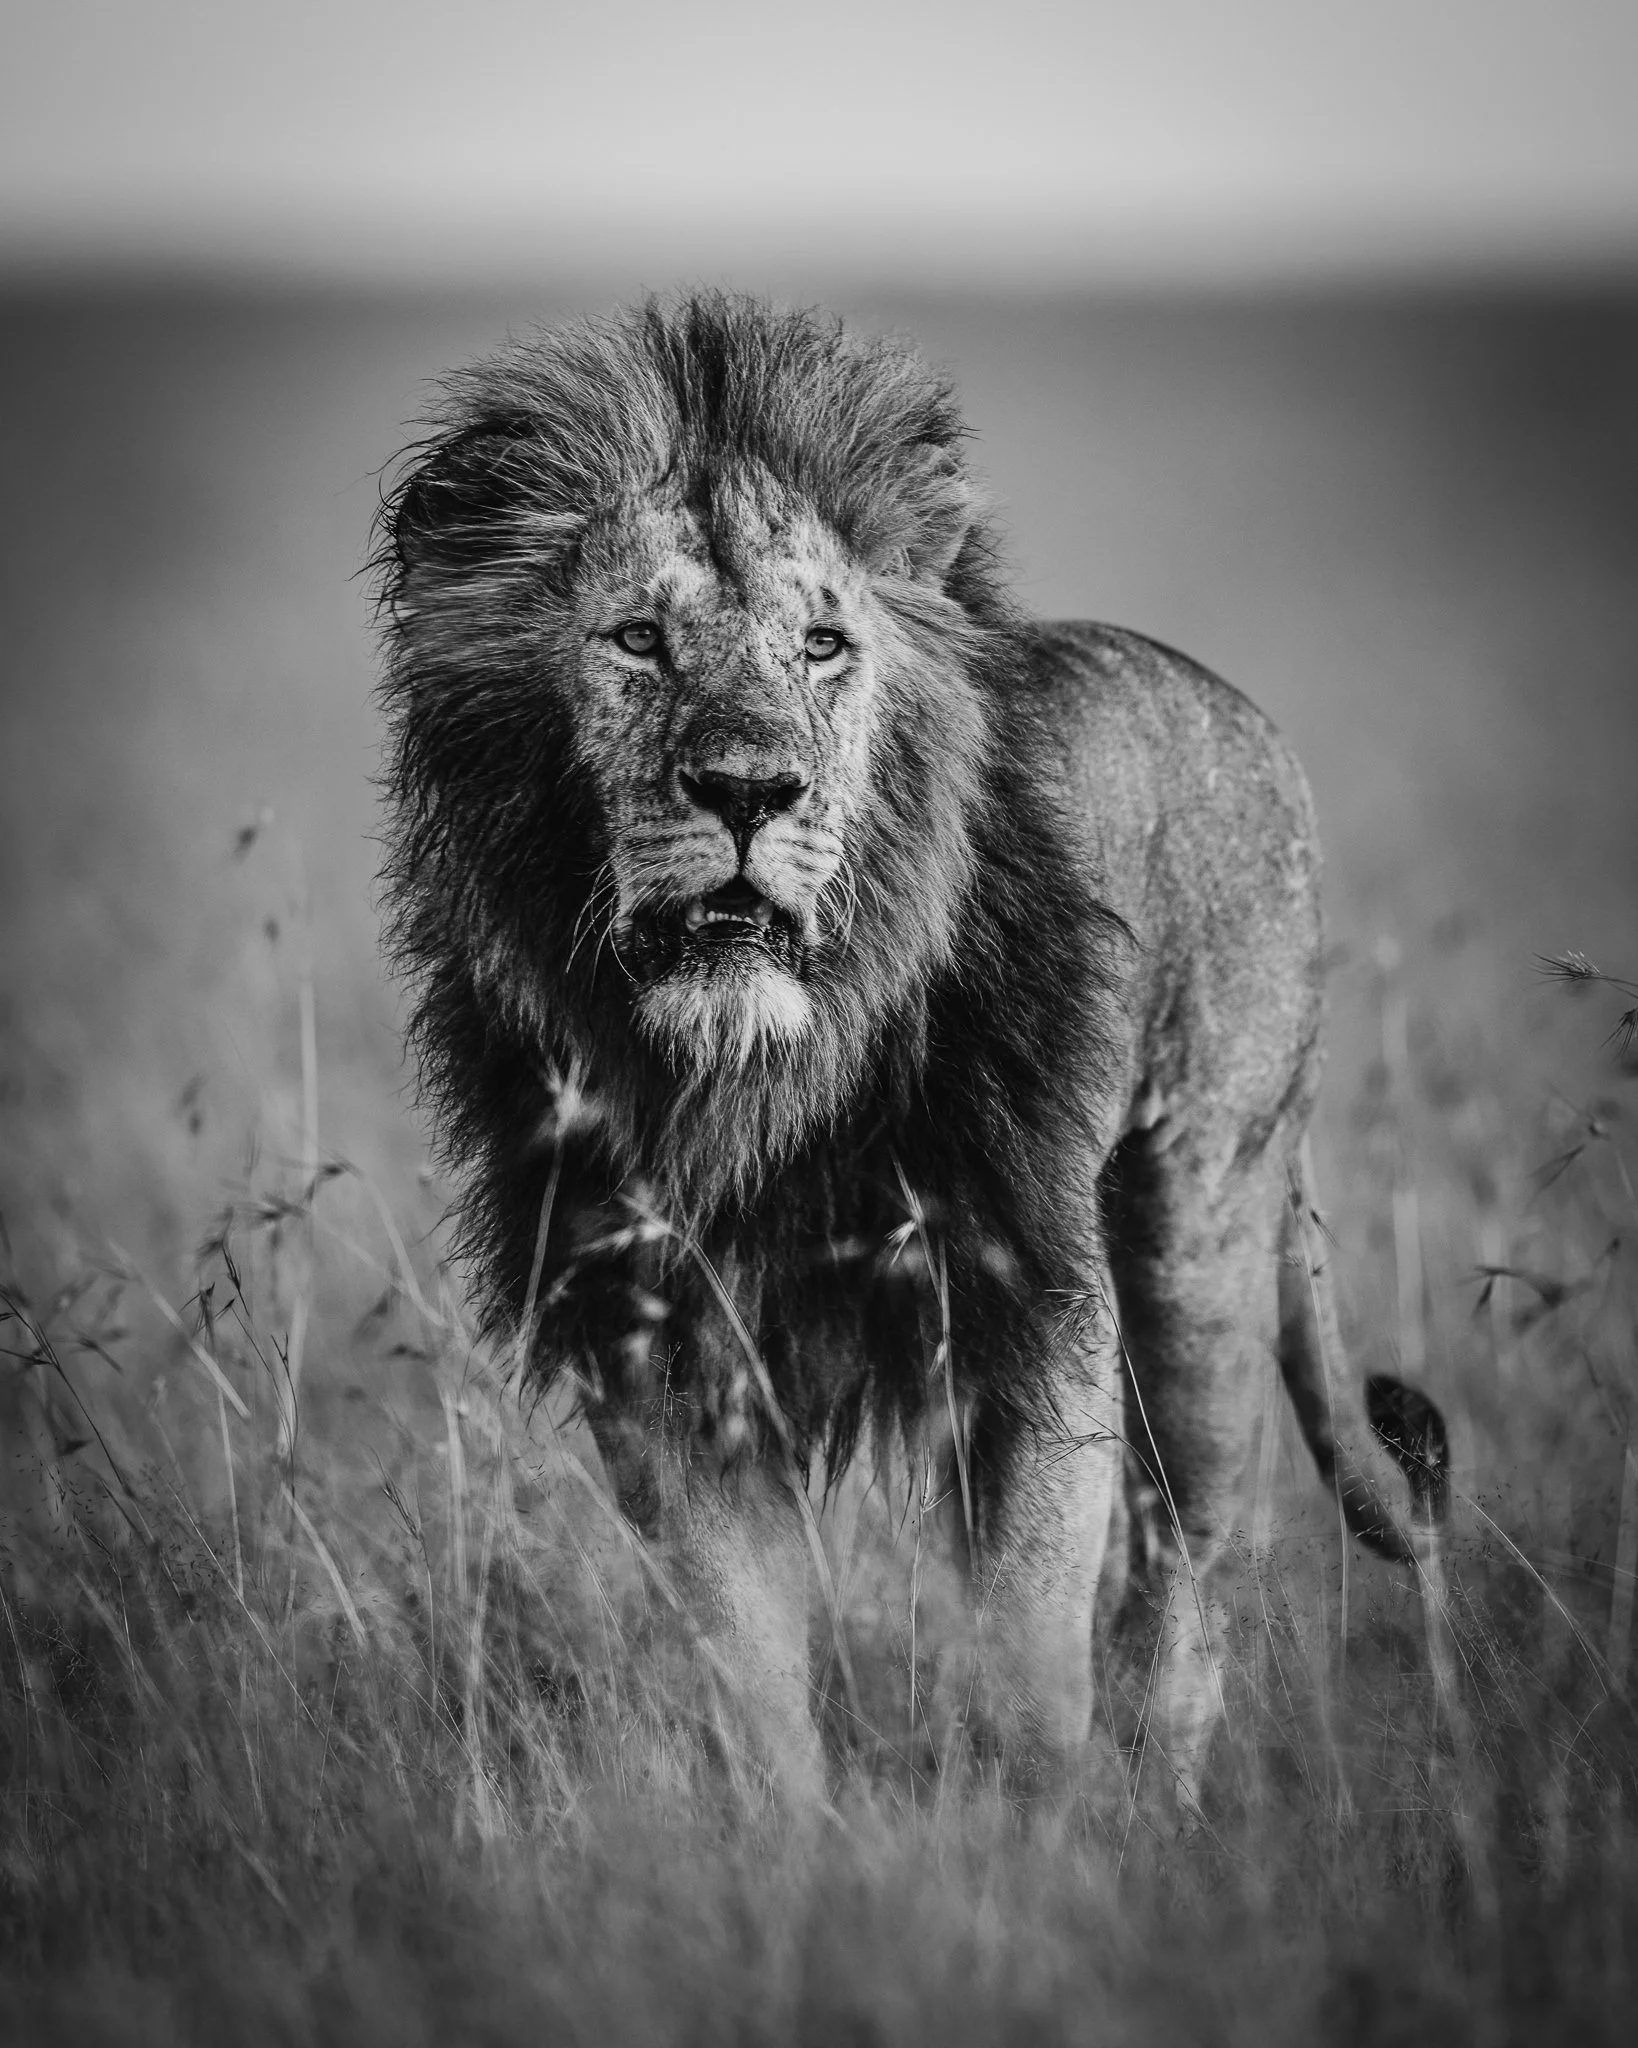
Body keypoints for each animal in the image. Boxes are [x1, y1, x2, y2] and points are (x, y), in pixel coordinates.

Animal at [373, 293, 1447, 1812]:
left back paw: (1165, 1799)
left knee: (1192, 1552)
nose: (750, 790)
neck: (761, 1077)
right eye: (636, 639)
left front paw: (1038, 1837)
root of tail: (1234, 707)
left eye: (824, 644)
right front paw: (801, 1848)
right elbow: (747, 1664)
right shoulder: (661, 1344)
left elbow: (1027, 1650)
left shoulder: (1033, 1302)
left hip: (1202, 1224)